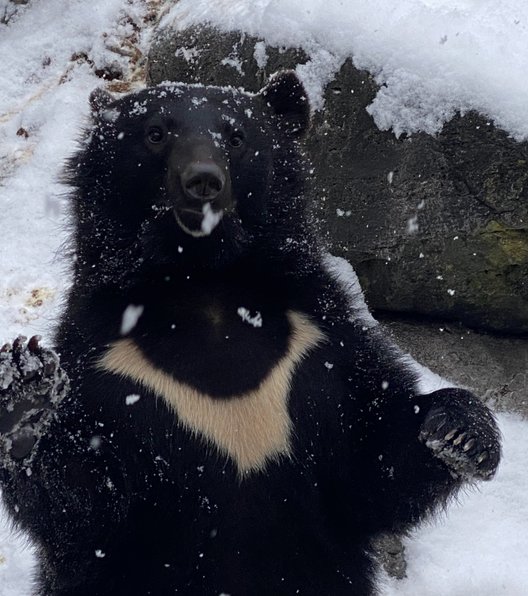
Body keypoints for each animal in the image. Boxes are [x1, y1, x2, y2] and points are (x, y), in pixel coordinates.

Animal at [1, 73, 500, 596]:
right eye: (156, 133)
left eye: (236, 136)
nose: (203, 181)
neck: (203, 280)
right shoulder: (107, 364)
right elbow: (86, 506)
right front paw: (27, 395)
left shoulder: (320, 341)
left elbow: (371, 461)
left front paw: (460, 434)